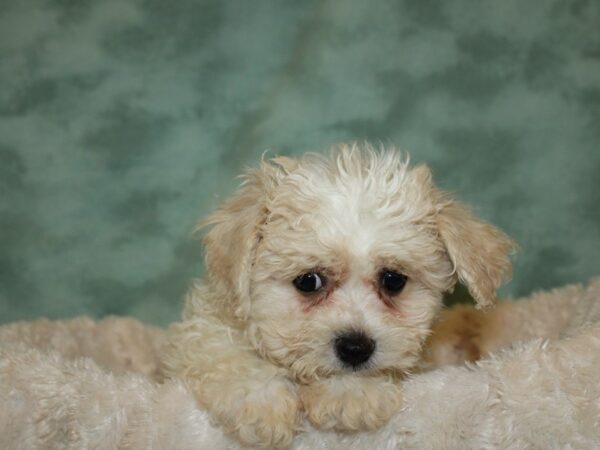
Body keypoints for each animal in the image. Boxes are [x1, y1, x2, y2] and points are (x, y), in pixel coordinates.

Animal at [161, 143, 516, 446]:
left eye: (393, 280)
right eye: (308, 281)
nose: (355, 348)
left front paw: (351, 395)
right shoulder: (208, 323)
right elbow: (221, 346)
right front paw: (260, 404)